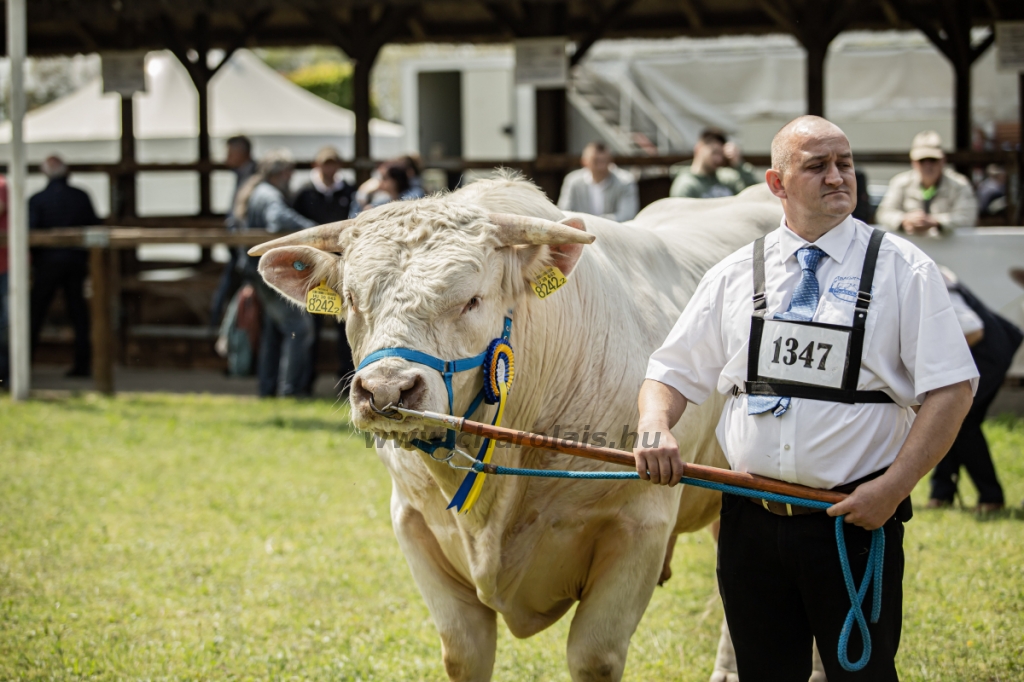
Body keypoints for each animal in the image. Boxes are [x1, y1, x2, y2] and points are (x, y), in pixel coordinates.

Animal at [253, 178, 782, 675]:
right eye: (351, 299)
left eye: (471, 300)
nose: (386, 391)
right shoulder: (413, 521)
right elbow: (463, 653)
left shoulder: (640, 529)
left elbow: (594, 655)